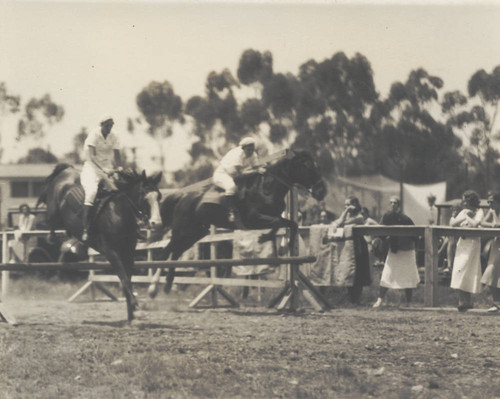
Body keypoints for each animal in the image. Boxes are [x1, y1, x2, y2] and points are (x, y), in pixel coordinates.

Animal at [37, 162, 162, 322]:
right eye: (144, 195)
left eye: (159, 197)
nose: (156, 223)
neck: (119, 213)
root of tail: (66, 170)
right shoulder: (111, 252)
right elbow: (124, 277)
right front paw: (135, 306)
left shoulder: (128, 252)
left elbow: (127, 279)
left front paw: (131, 315)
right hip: (54, 213)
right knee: (51, 223)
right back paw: (56, 238)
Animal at [147, 151, 328, 300]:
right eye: (306, 165)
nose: (322, 191)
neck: (267, 188)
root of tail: (182, 197)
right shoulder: (254, 218)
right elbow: (278, 223)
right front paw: (266, 239)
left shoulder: (271, 217)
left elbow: (291, 224)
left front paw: (282, 246)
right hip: (182, 231)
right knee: (165, 252)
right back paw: (153, 288)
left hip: (194, 233)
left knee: (175, 253)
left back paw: (168, 284)